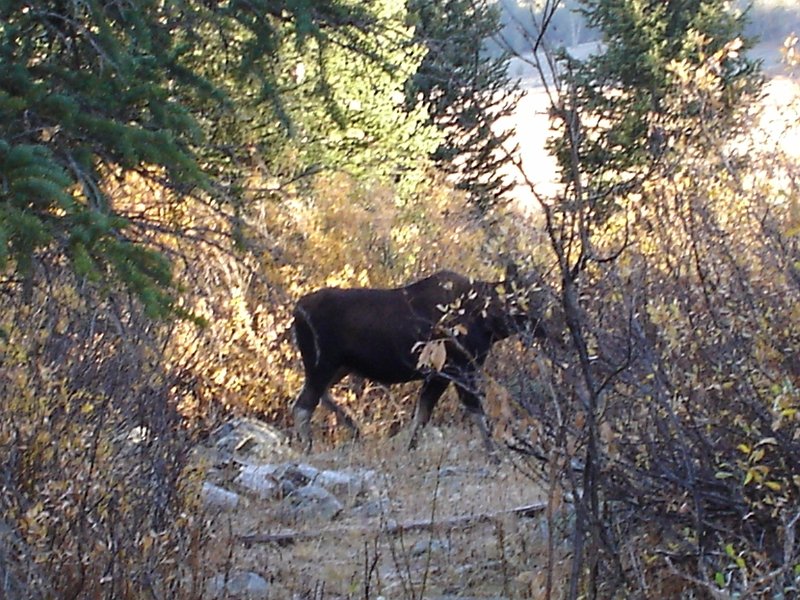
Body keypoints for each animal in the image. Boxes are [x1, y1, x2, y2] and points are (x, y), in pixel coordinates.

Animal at [294, 270, 552, 452]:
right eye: (532, 297)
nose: (548, 326)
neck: (487, 322)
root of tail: (297, 311)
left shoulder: (439, 374)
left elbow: (422, 416)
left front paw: (410, 450)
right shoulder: (456, 369)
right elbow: (474, 412)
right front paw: (495, 455)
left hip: (338, 366)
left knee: (314, 397)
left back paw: (354, 429)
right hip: (322, 363)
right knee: (302, 406)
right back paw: (308, 448)